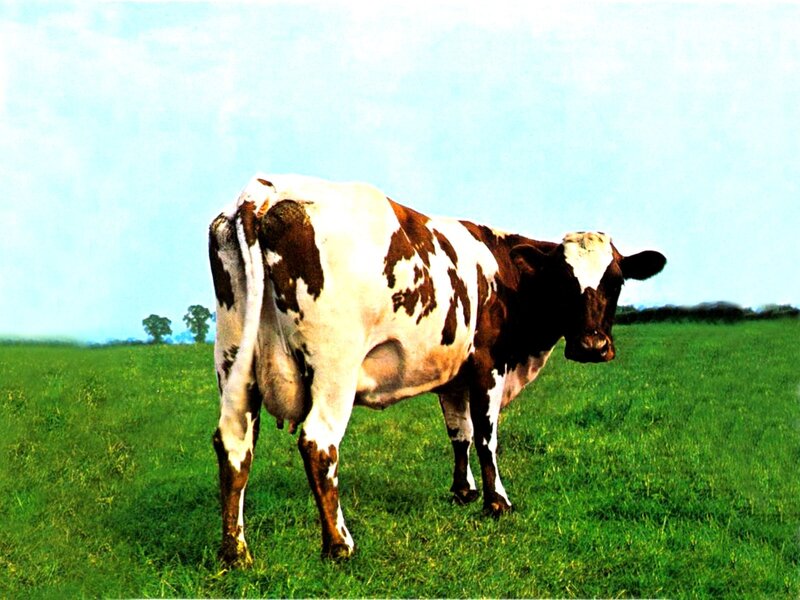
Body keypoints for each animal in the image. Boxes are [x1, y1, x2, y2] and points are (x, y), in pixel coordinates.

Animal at [209, 174, 666, 566]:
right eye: (563, 281)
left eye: (616, 281)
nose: (592, 347)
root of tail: (266, 191)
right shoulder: (488, 365)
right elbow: (486, 437)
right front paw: (497, 501)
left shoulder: (453, 375)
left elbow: (459, 433)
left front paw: (464, 491)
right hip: (334, 367)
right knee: (318, 444)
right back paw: (339, 544)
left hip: (233, 359)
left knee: (233, 442)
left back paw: (235, 551)